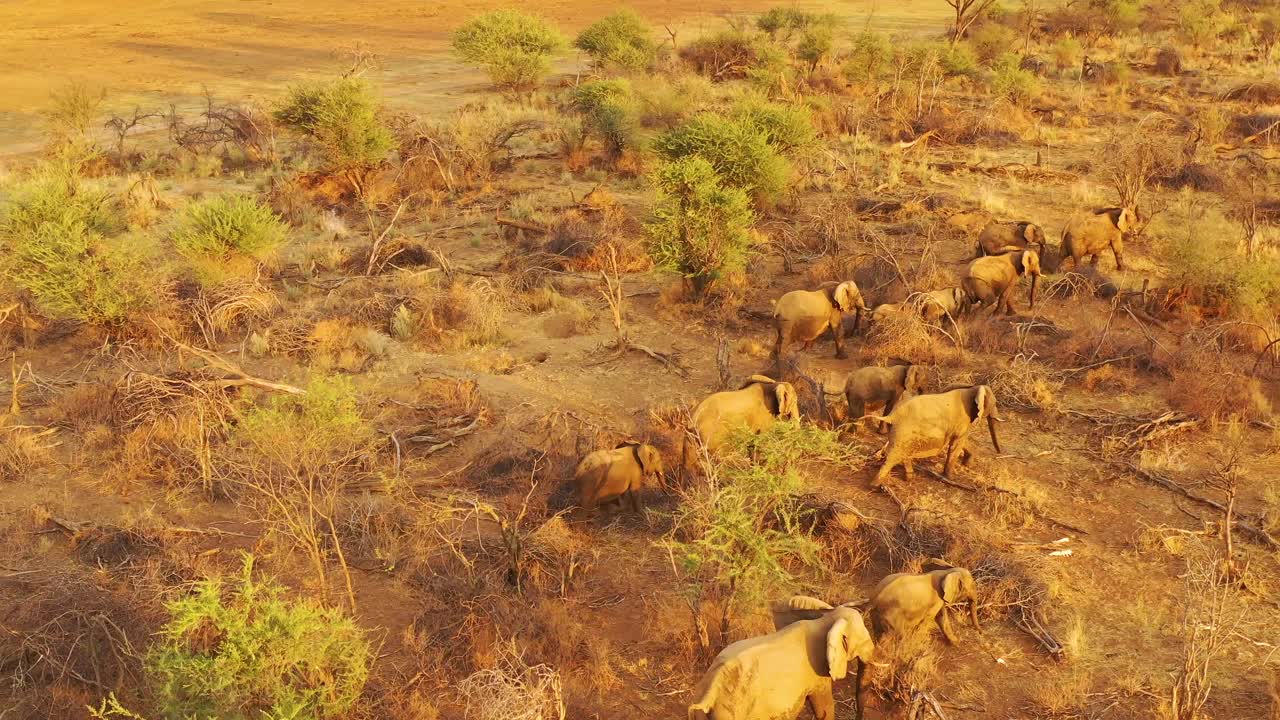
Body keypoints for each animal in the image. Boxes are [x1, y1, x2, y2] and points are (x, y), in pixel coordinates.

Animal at [688, 603, 875, 720]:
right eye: (865, 642)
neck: (823, 620)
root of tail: (709, 693)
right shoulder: (817, 672)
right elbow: (824, 706)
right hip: (731, 712)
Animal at [869, 385, 1004, 487]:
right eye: (995, 404)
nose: (999, 452)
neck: (972, 388)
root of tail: (892, 415)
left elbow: (962, 441)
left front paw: (967, 464)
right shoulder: (962, 420)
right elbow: (957, 443)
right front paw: (950, 478)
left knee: (902, 452)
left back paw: (909, 478)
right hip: (903, 429)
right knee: (893, 455)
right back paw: (875, 485)